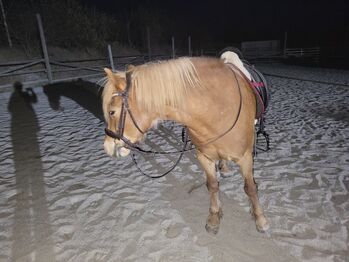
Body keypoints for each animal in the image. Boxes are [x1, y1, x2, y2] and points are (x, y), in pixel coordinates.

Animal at [101, 54, 270, 234]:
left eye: (112, 111)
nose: (108, 147)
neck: (217, 110)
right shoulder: (204, 157)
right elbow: (212, 186)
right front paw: (214, 217)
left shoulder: (245, 158)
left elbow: (250, 188)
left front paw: (260, 219)